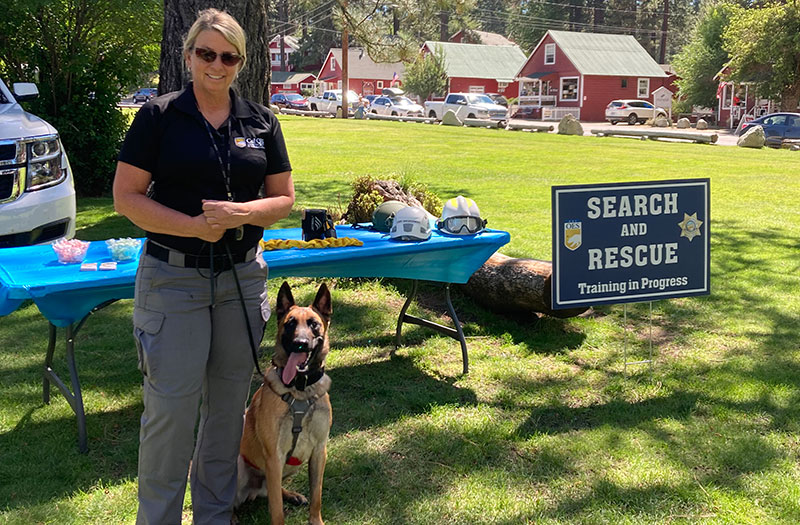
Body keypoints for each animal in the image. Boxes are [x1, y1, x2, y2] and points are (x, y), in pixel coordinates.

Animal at [234, 282, 332, 524]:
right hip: (240, 465)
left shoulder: (319, 451)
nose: (300, 344)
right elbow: (277, 510)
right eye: (290, 324)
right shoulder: (274, 456)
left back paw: (292, 494)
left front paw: (316, 520)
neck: (300, 390)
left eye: (313, 324)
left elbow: (316, 496)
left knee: (274, 489)